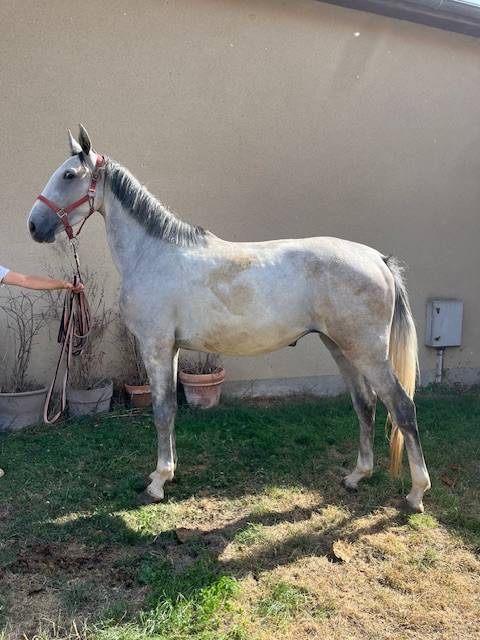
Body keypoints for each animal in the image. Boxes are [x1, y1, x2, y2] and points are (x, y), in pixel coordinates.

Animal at [27, 125, 431, 512]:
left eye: (68, 175)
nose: (34, 226)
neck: (152, 254)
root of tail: (379, 260)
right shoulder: (171, 349)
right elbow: (171, 409)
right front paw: (168, 473)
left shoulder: (155, 347)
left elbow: (161, 410)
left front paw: (157, 483)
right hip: (341, 347)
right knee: (366, 404)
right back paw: (357, 476)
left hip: (367, 353)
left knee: (402, 406)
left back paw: (415, 494)